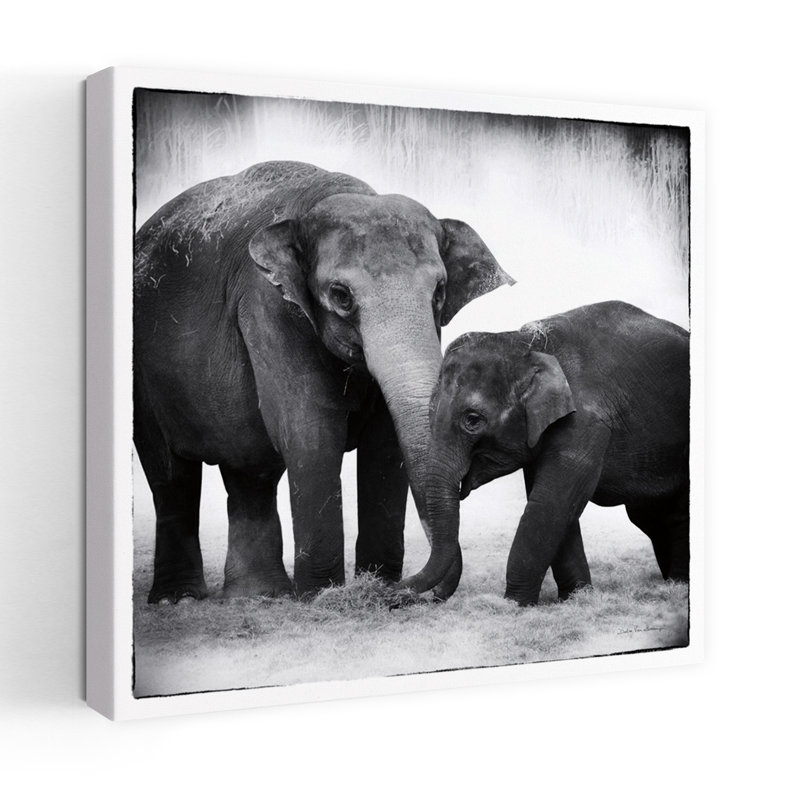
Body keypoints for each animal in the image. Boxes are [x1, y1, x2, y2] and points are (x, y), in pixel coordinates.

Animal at [133, 160, 513, 604]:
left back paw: (258, 596)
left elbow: (386, 444)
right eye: (341, 295)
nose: (406, 592)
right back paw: (178, 598)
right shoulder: (268, 305)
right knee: (171, 476)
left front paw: (375, 585)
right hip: (143, 380)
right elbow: (310, 434)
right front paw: (322, 595)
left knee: (249, 473)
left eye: (439, 292)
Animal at [401, 301, 689, 606]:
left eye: (472, 420)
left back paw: (678, 585)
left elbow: (549, 503)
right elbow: (555, 506)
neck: (527, 344)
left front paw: (514, 603)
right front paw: (575, 598)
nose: (392, 590)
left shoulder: (585, 423)